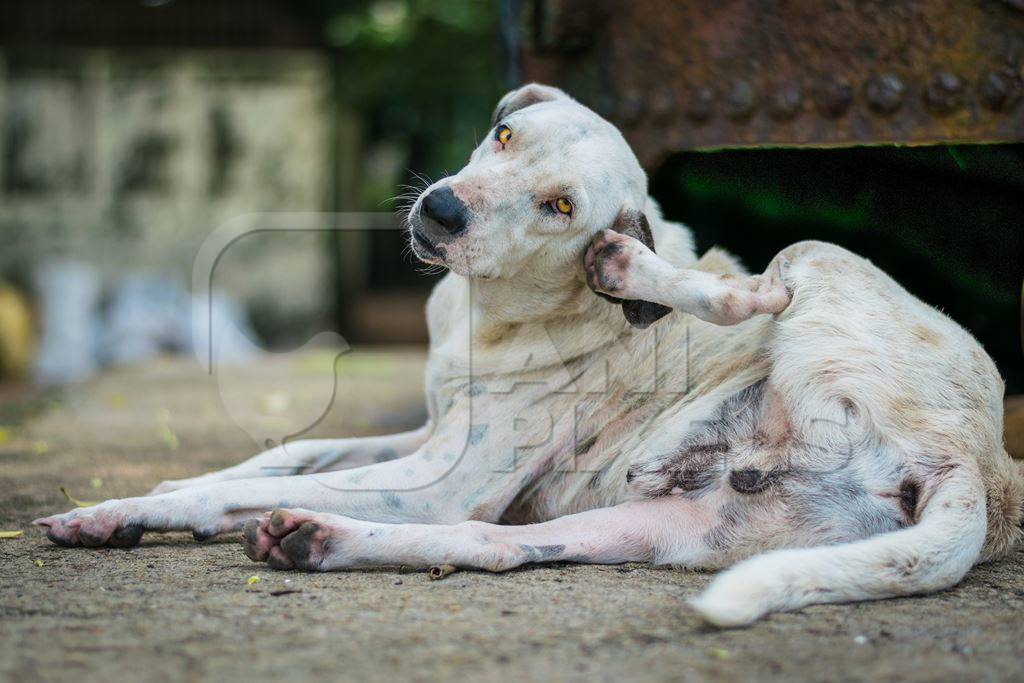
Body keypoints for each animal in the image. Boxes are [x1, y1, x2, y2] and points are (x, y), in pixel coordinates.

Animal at [36, 83, 1019, 626]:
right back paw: (315, 540)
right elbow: (288, 452)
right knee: (492, 546)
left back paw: (635, 269)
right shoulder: (428, 439)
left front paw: (136, 503)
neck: (497, 314)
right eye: (506, 137)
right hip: (666, 529)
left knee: (754, 286)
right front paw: (138, 500)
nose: (440, 209)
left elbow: (239, 487)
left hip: (814, 256)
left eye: (559, 206)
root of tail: (980, 468)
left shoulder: (439, 474)